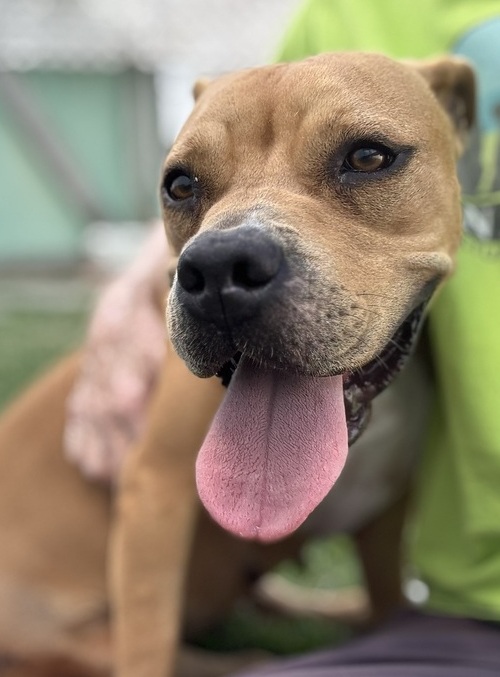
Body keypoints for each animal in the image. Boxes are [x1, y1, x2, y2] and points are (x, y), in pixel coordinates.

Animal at [0, 52, 474, 677]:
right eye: (180, 185)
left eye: (368, 157)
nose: (220, 268)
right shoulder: (155, 489)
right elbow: (148, 644)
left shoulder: (385, 511)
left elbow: (387, 599)